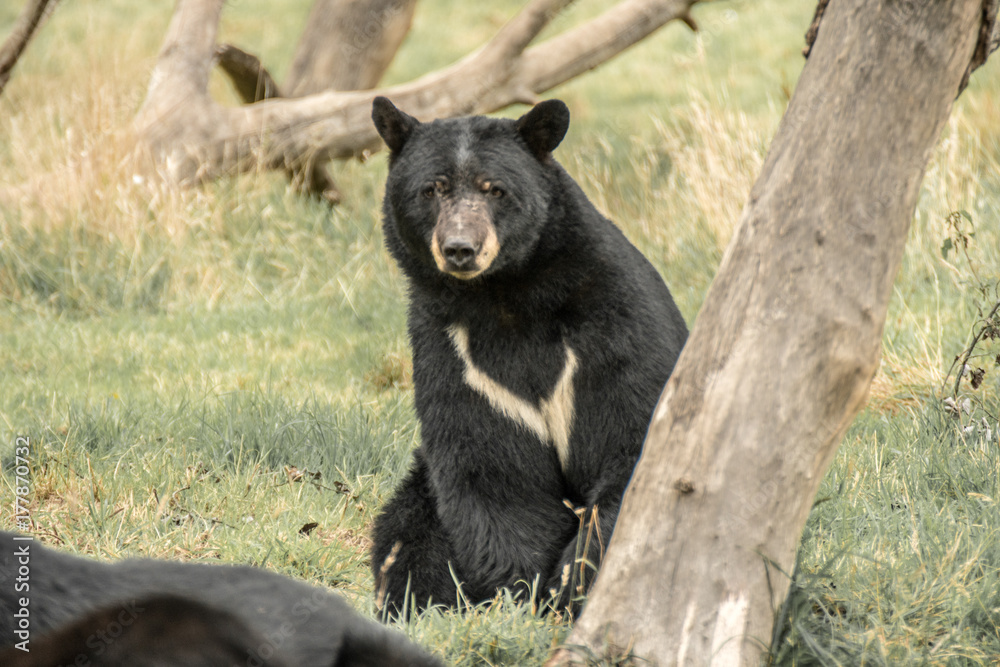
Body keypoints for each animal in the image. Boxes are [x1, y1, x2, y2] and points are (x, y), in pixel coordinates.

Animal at [372, 95, 692, 616]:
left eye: (495, 189)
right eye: (432, 189)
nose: (460, 249)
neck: (506, 297)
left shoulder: (613, 324)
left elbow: (631, 439)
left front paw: (574, 584)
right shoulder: (454, 352)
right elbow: (492, 470)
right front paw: (520, 594)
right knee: (406, 537)